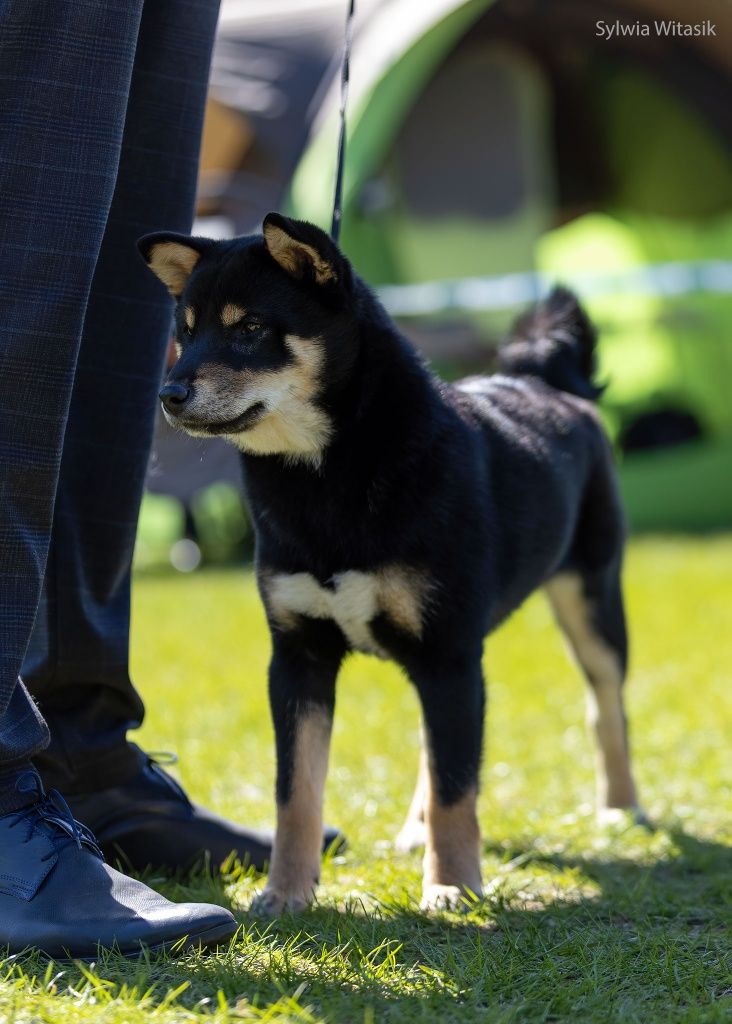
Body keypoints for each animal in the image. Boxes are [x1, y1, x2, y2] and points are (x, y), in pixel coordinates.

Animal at [140, 216, 642, 913]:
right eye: (185, 332)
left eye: (251, 328)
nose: (170, 394)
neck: (327, 477)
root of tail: (547, 383)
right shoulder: (298, 658)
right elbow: (296, 793)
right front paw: (286, 892)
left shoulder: (448, 654)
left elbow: (458, 787)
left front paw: (453, 885)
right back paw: (413, 830)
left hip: (591, 599)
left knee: (605, 707)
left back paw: (621, 807)